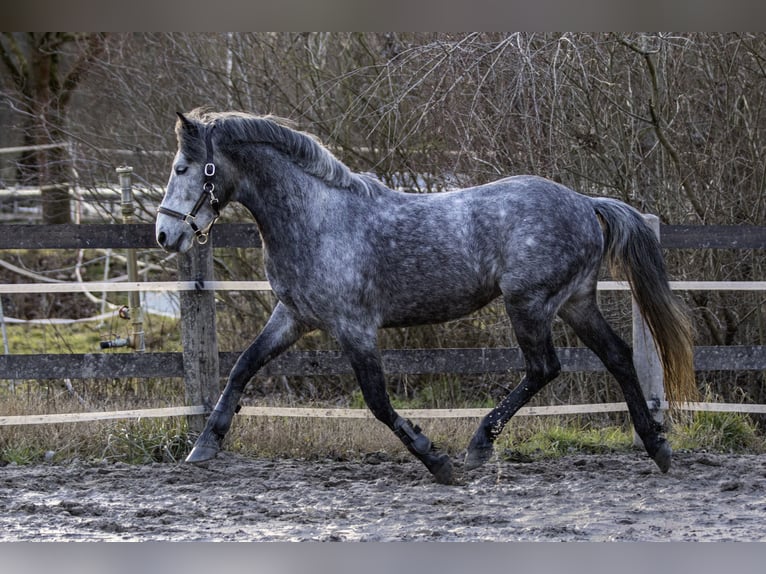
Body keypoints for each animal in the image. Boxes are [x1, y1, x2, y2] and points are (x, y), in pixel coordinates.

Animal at [156, 108, 696, 485]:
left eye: (184, 168)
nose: (165, 235)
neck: (317, 219)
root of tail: (584, 202)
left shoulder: (354, 328)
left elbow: (377, 402)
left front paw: (436, 461)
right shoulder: (293, 317)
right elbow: (243, 366)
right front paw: (205, 445)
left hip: (529, 303)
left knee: (545, 368)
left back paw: (478, 446)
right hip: (575, 302)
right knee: (618, 357)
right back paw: (658, 447)